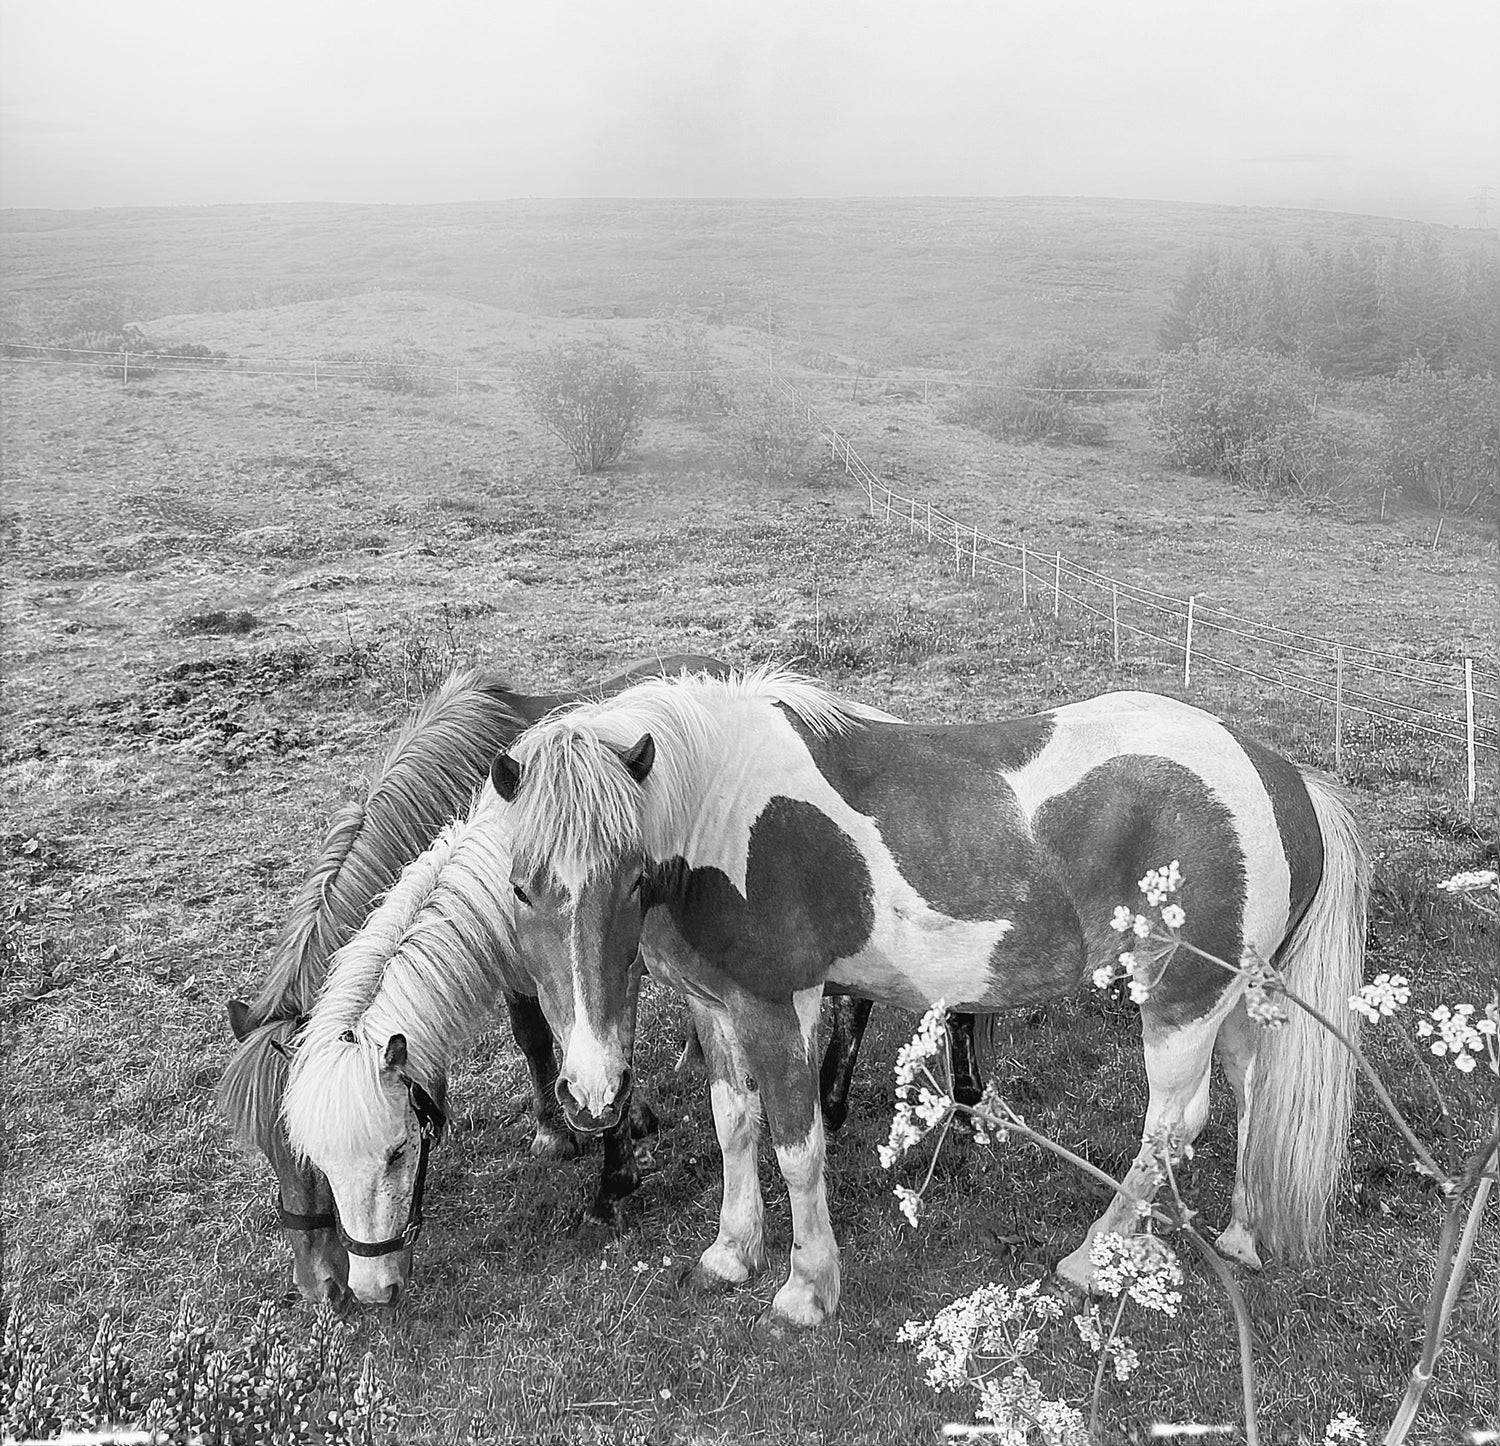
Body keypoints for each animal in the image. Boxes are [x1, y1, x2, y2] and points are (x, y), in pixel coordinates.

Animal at [217, 656, 723, 1304]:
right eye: (278, 1149)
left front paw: (596, 1146)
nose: (320, 1284)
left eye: (306, 1159)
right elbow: (535, 1043)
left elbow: (563, 1040)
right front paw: (555, 1128)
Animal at [488, 667, 1369, 1327]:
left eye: (633, 878)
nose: (591, 1094)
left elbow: (797, 1146)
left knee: (1172, 1124)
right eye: (521, 887)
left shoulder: (779, 1005)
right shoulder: (716, 1007)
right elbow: (733, 1125)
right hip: (1230, 999)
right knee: (1252, 1089)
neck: (724, 814)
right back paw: (1240, 1236)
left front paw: (807, 1290)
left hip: (1183, 1004)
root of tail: (1281, 778)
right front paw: (732, 1254)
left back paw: (1095, 1255)